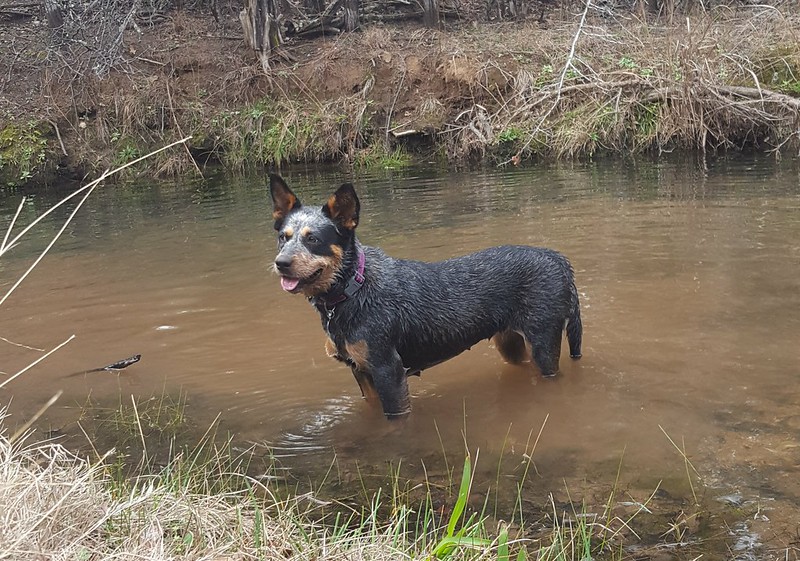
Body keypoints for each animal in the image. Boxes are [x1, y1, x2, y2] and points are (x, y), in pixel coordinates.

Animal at [268, 173, 580, 418]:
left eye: (313, 239)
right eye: (283, 237)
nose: (281, 263)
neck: (351, 292)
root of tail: (559, 259)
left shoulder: (388, 370)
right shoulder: (361, 372)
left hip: (544, 342)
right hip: (511, 343)